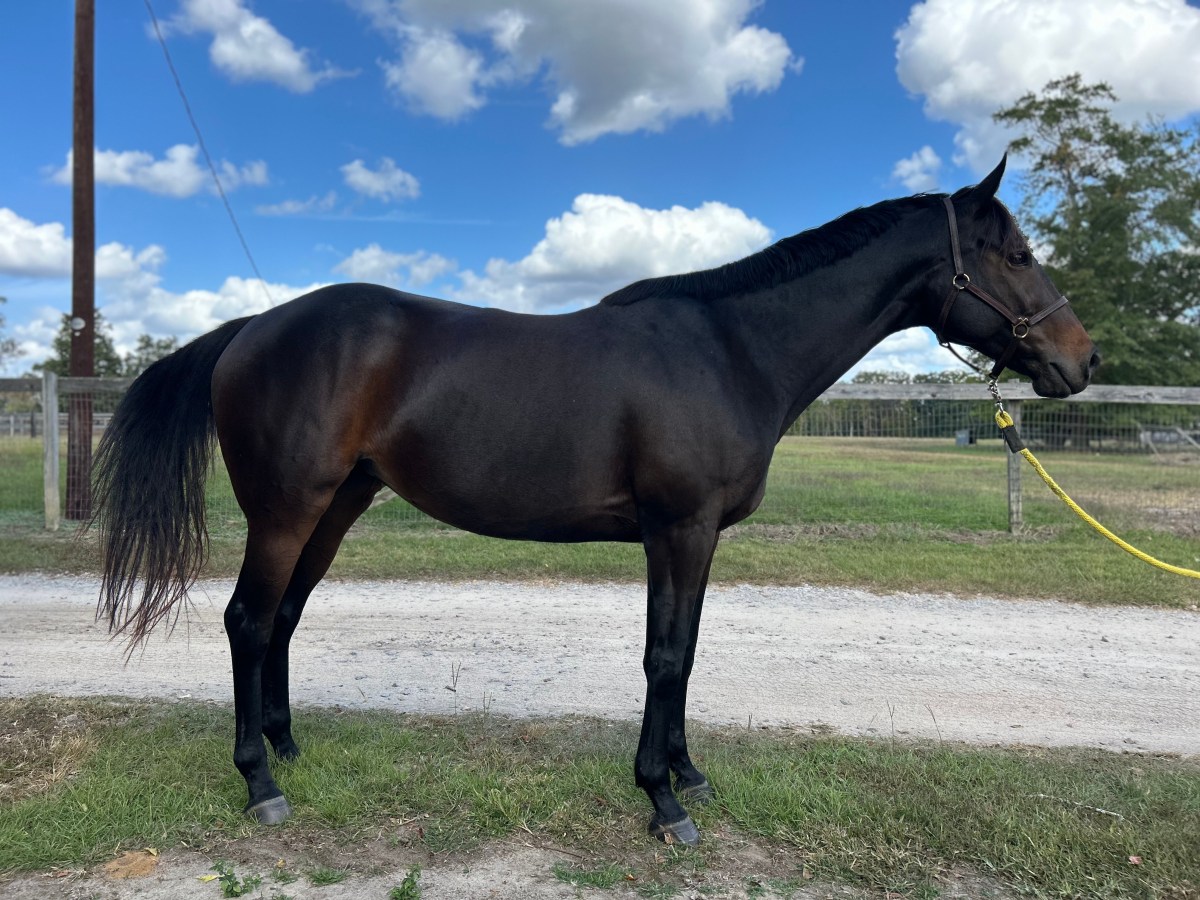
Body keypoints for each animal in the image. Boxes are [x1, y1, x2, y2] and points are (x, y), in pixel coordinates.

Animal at [90, 157, 1098, 846]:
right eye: (1015, 254)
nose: (1081, 360)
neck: (731, 349)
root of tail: (251, 329)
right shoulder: (677, 529)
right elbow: (664, 657)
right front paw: (661, 800)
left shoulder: (699, 538)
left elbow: (687, 654)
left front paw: (687, 773)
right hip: (286, 509)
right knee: (248, 620)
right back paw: (260, 784)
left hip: (337, 506)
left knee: (287, 617)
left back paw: (290, 750)